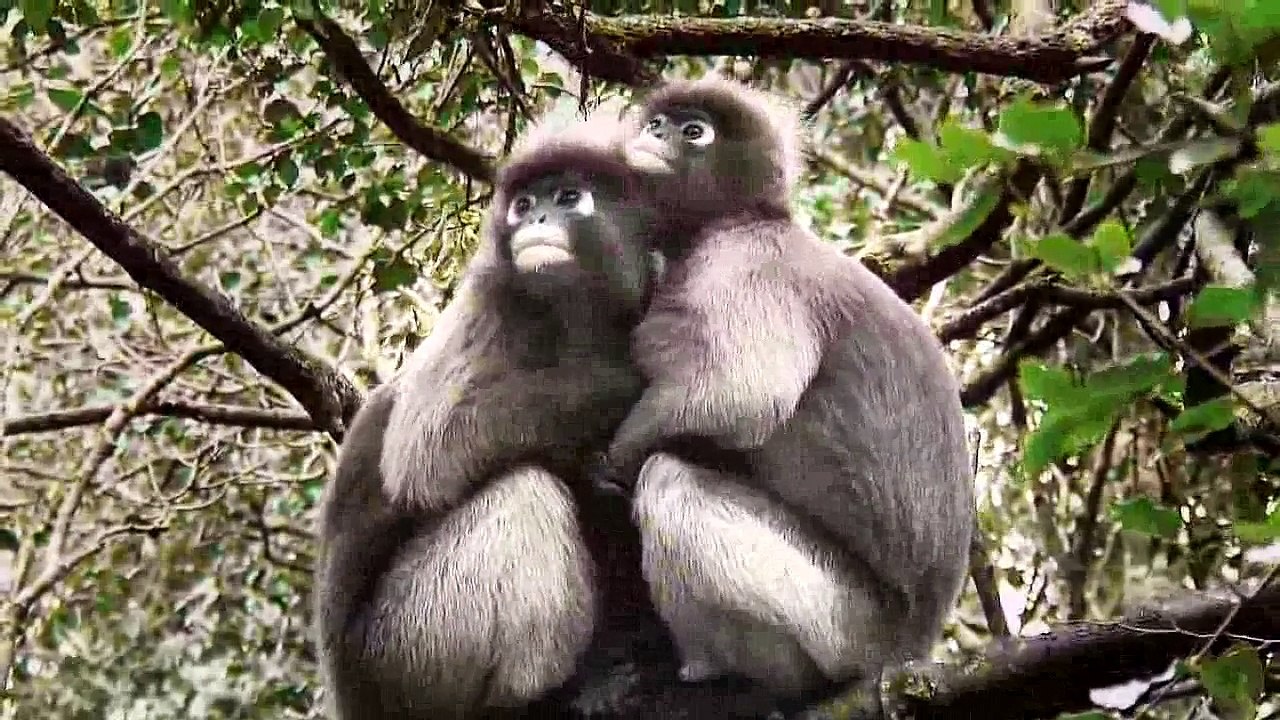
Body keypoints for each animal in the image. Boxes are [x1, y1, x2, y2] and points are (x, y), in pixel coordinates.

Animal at [313, 110, 666, 720]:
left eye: (568, 197)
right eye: (523, 204)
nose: (537, 217)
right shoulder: (490, 299)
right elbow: (426, 453)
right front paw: (624, 388)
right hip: (406, 651)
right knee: (525, 491)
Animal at [594, 75, 976, 698]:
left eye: (693, 131)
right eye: (657, 123)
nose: (655, 135)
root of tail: (911, 645)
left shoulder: (747, 262)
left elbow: (743, 395)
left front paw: (612, 462)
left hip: (845, 620)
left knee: (672, 481)